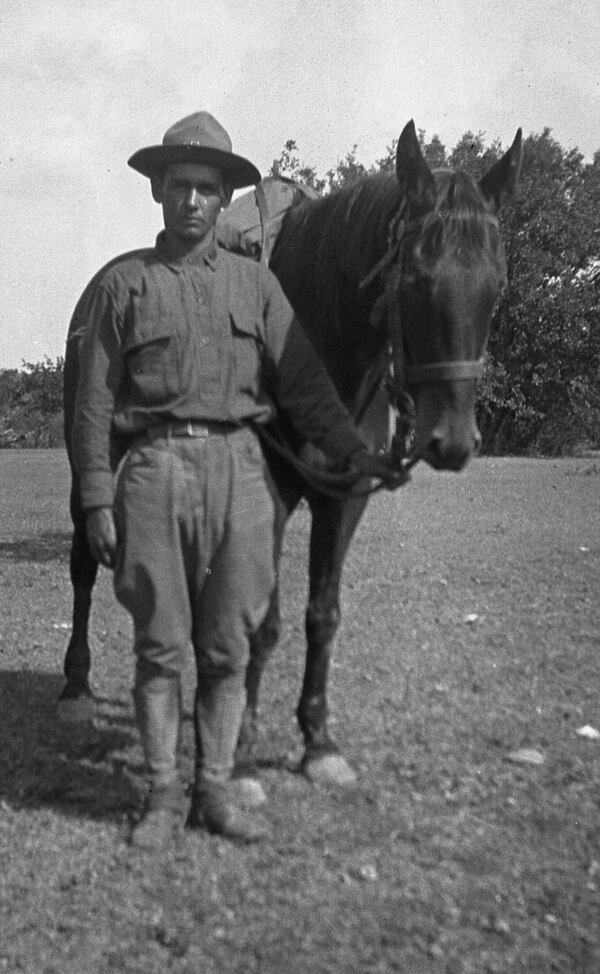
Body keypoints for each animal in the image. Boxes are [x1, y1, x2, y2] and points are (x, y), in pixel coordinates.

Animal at [58, 122, 524, 792]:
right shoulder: (268, 498)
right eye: (416, 278)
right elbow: (266, 619)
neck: (314, 342)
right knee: (82, 562)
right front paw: (242, 747)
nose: (453, 441)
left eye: (497, 284)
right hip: (85, 461)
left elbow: (321, 615)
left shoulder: (344, 500)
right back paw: (75, 685)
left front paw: (317, 740)